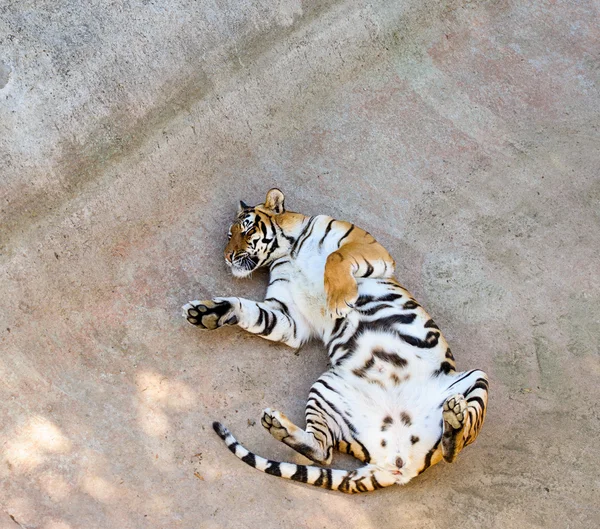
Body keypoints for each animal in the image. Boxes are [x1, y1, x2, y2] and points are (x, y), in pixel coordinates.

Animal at [183, 188, 488, 492]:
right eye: (229, 234)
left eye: (246, 229)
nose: (227, 256)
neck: (287, 252)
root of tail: (396, 465)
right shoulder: (288, 317)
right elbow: (251, 311)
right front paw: (208, 314)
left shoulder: (367, 246)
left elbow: (336, 256)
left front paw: (339, 301)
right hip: (326, 389)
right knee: (323, 451)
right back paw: (277, 425)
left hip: (476, 377)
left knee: (455, 447)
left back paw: (456, 418)